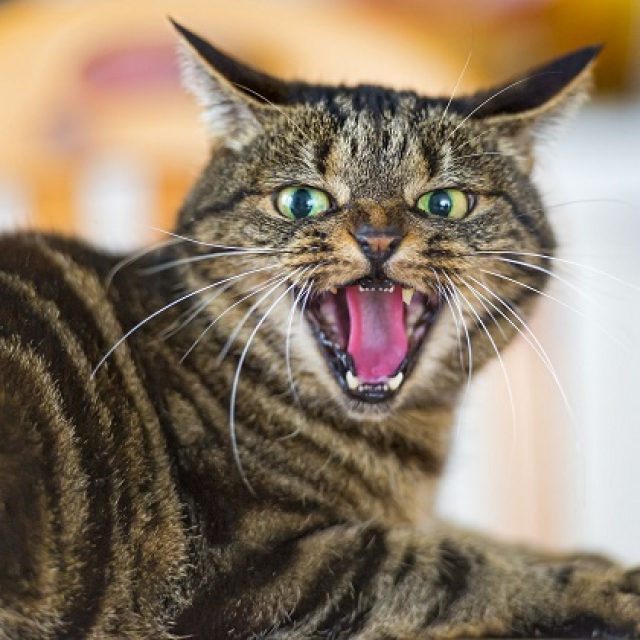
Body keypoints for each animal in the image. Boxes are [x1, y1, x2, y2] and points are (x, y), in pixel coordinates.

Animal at [0, 18, 638, 639]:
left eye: (445, 203)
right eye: (301, 201)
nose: (378, 239)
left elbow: (480, 538)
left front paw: (589, 556)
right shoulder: (259, 568)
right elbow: (458, 566)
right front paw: (607, 583)